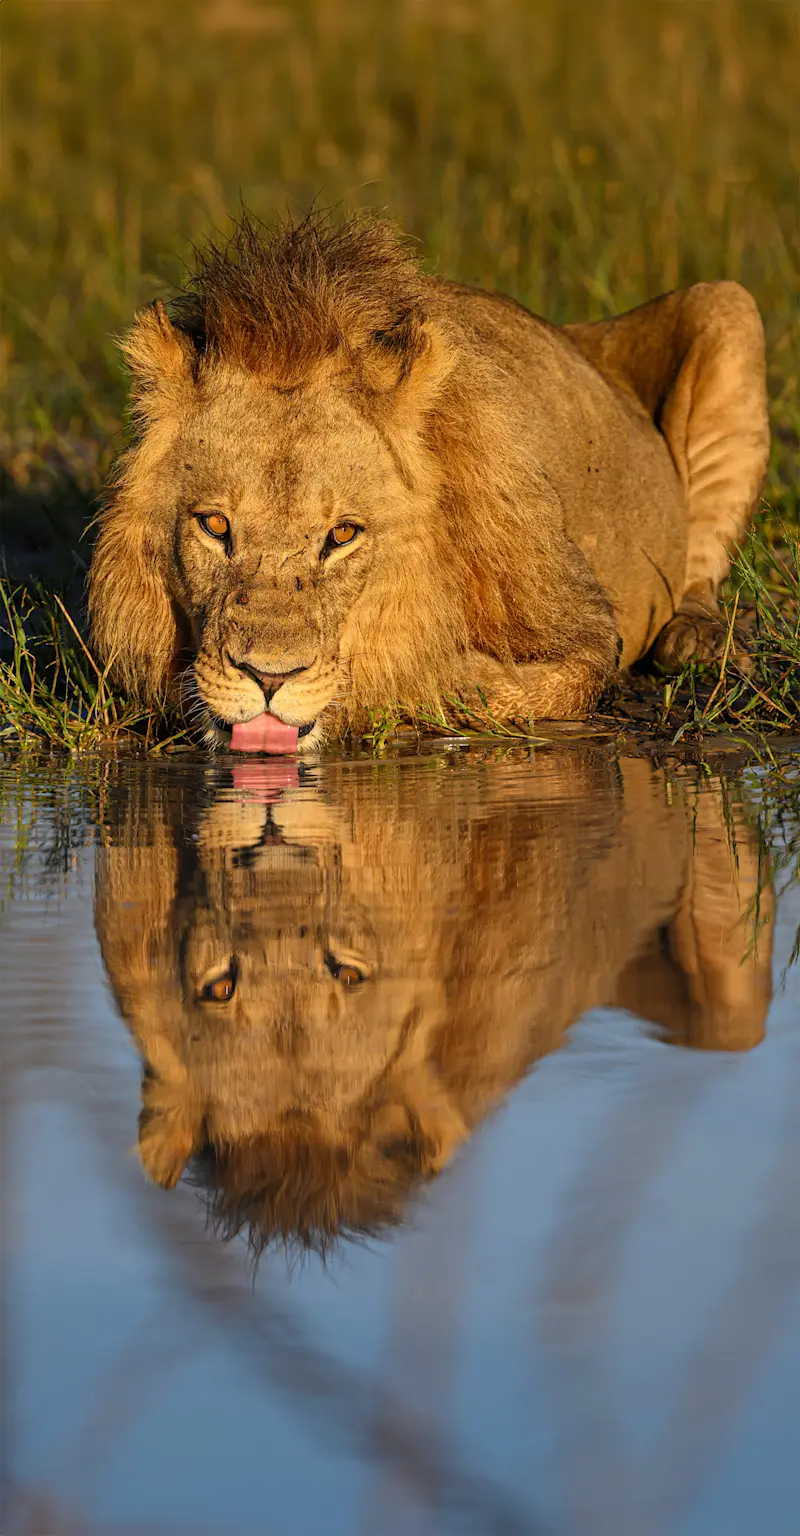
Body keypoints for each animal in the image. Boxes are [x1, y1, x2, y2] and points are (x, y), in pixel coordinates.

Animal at [87, 213, 769, 751]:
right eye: (215, 526)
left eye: (342, 535)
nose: (270, 678)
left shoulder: (584, 630)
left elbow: (509, 685)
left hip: (728, 303)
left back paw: (696, 639)